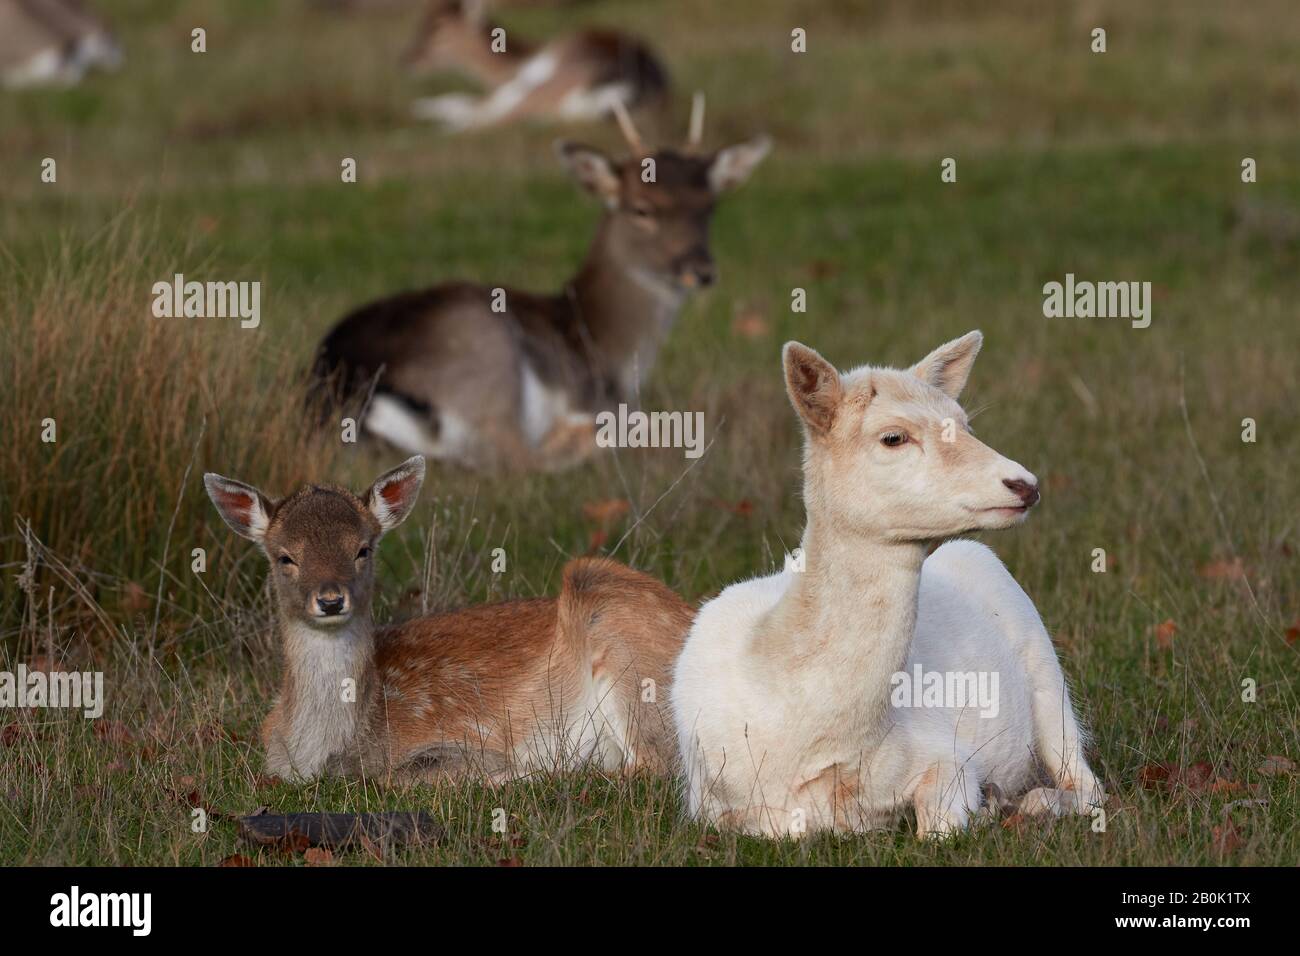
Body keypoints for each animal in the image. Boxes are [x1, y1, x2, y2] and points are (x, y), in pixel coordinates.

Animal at [310, 100, 770, 471]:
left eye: (709, 208)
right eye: (642, 209)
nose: (701, 269)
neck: (610, 345)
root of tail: (341, 391)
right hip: (485, 360)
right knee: (518, 459)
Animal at [405, 0, 668, 132]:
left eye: (438, 28)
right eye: (422, 21)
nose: (406, 59)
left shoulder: (513, 87)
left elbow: (466, 103)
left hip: (549, 85)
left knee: (491, 120)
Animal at [672, 333, 1105, 838]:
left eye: (965, 424)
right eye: (893, 437)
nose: (1025, 484)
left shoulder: (945, 755)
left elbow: (940, 827)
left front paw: (986, 805)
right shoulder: (706, 803)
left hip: (1045, 668)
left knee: (1087, 782)